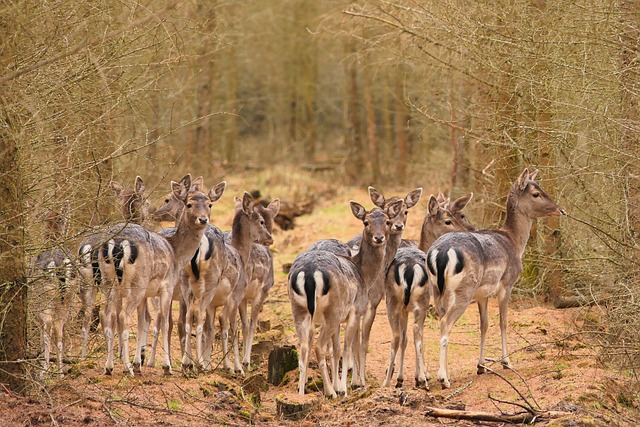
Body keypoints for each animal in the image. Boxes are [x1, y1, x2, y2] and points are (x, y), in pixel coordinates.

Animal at [99, 176, 219, 376]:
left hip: (109, 283)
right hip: (137, 284)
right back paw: (127, 368)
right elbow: (164, 322)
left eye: (209, 204)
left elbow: (144, 321)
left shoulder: (149, 293)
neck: (176, 252)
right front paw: (166, 366)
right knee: (123, 316)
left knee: (108, 314)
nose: (203, 219)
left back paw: (109, 367)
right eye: (189, 204)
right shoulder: (166, 287)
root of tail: (117, 244)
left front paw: (139, 362)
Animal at [288, 199, 402, 400]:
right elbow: (348, 347)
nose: (379, 238)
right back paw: (331, 392)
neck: (363, 275)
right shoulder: (355, 310)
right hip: (332, 310)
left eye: (387, 221)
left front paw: (343, 384)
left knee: (303, 347)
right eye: (366, 222)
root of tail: (309, 272)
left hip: (299, 309)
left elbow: (337, 349)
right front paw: (344, 388)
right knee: (318, 346)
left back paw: (301, 393)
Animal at [380, 194, 476, 392]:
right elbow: (417, 336)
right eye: (448, 220)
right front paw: (421, 376)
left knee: (396, 335)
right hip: (420, 302)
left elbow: (404, 338)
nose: (468, 230)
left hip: (392, 301)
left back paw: (386, 382)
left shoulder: (404, 309)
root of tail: (408, 268)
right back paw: (423, 380)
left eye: (457, 215)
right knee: (417, 331)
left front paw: (400, 378)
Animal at [428, 169, 564, 390]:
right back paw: (443, 379)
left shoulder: (483, 294)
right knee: (445, 323)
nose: (560, 210)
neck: (515, 242)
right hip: (464, 290)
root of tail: (439, 253)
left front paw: (481, 366)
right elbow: (503, 322)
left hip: (436, 289)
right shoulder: (507, 284)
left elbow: (483, 325)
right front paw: (507, 362)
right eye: (536, 193)